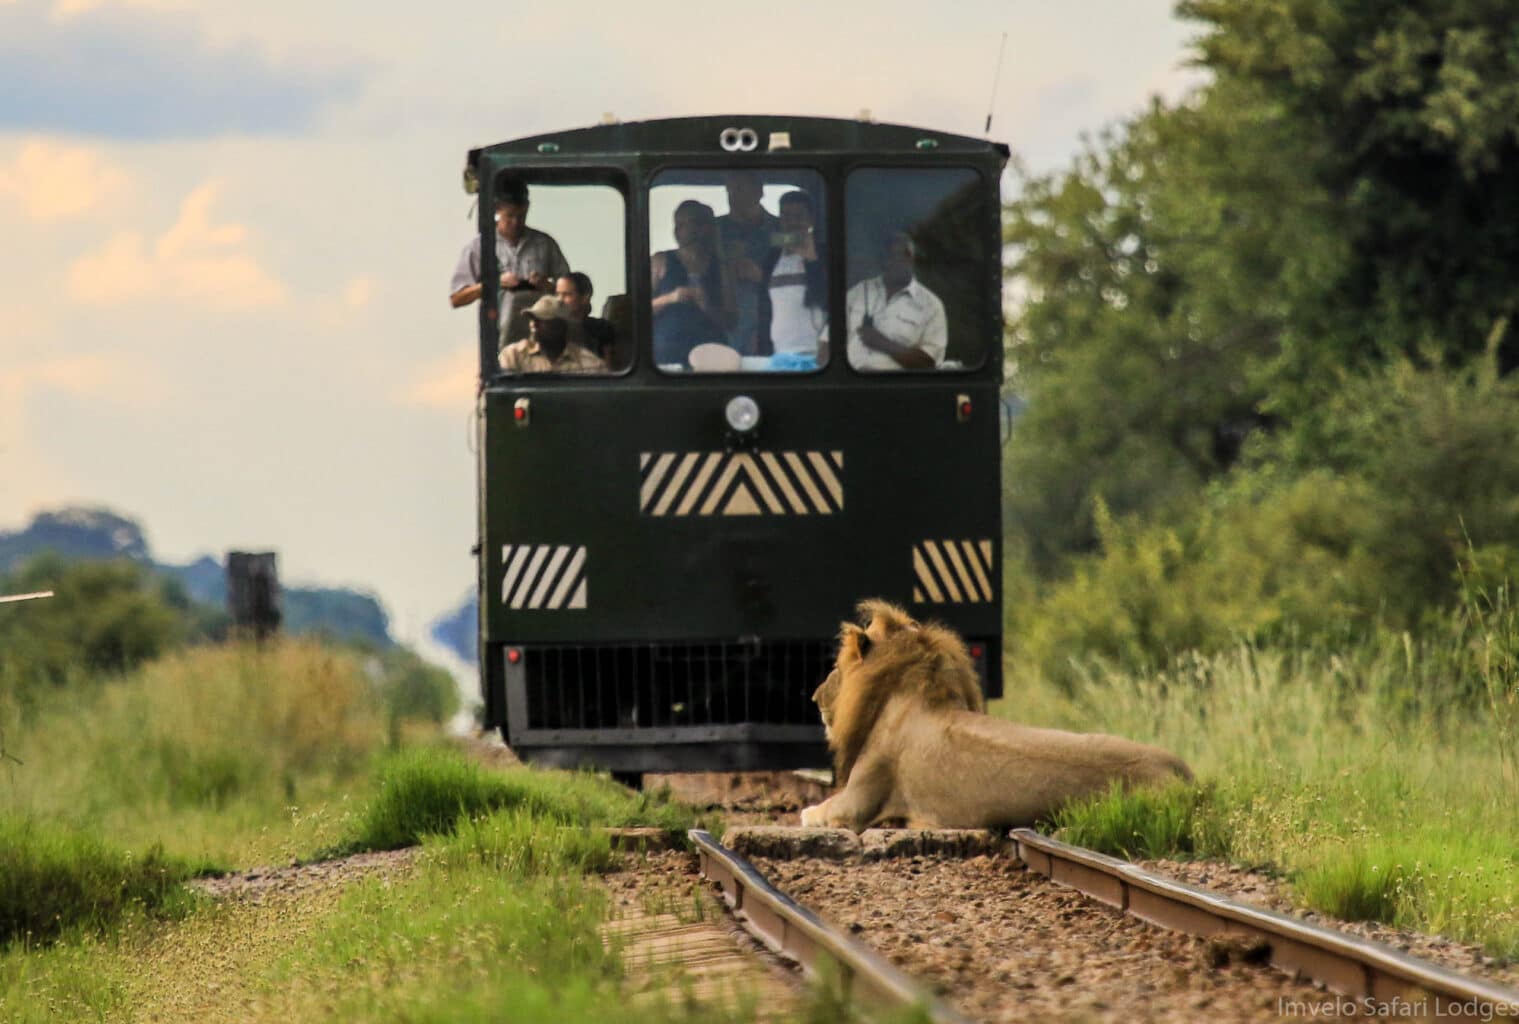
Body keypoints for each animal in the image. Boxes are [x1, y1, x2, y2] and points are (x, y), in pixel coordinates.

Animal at [802, 598, 1190, 826]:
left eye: (835, 667)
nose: (815, 697)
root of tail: (1180, 768)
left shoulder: (856, 802)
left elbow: (817, 812)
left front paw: (806, 812)